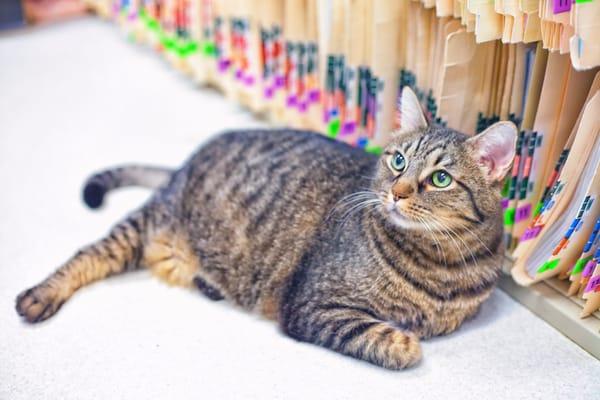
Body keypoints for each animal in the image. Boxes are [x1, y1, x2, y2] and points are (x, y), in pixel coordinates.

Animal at [16, 87, 516, 368]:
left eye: (440, 179)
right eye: (397, 162)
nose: (396, 191)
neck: (440, 263)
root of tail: (184, 163)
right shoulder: (314, 305)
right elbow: (386, 339)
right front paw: (406, 343)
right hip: (144, 226)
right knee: (88, 254)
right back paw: (39, 296)